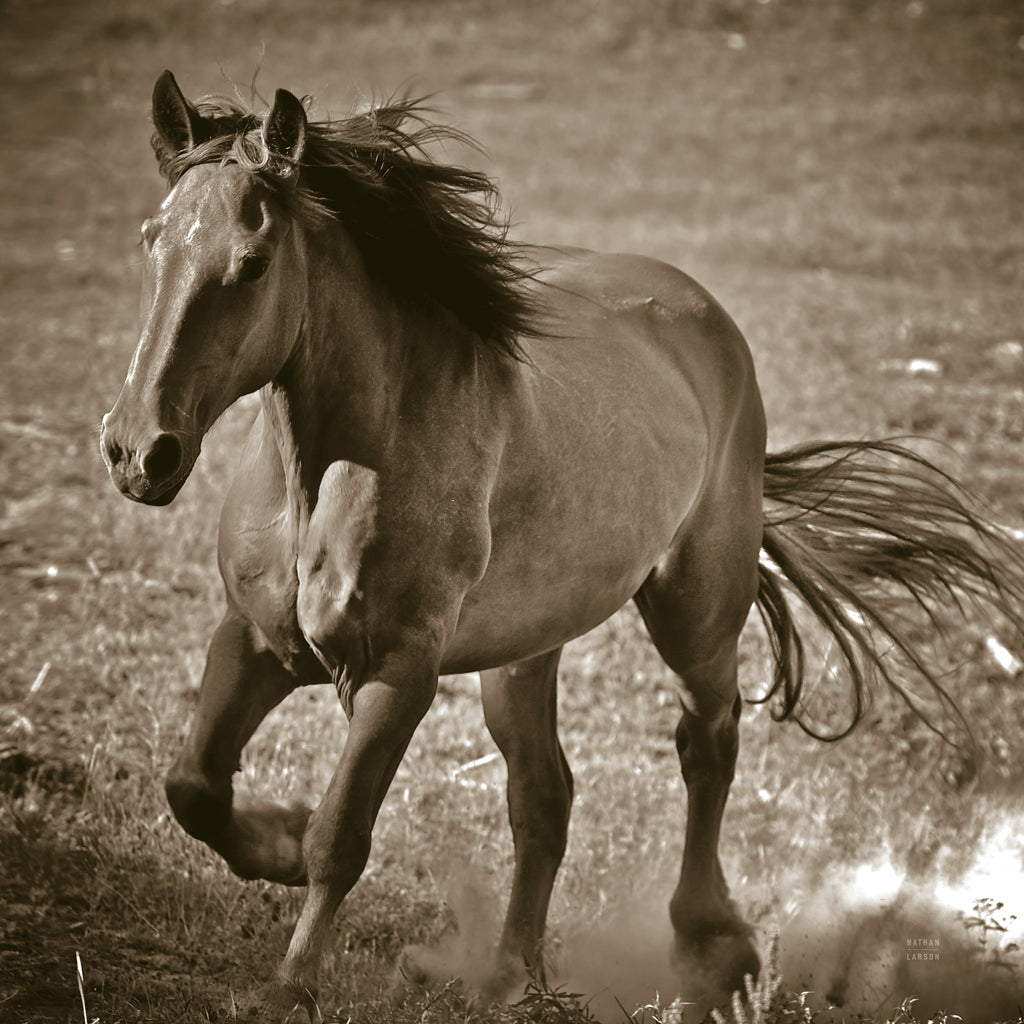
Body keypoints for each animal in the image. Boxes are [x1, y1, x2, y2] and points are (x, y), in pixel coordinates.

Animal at [97, 74, 1024, 1015]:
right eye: (150, 240)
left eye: (252, 264)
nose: (140, 452)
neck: (329, 472)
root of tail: (703, 316)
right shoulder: (255, 639)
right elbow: (194, 785)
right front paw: (276, 844)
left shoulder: (399, 673)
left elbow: (342, 835)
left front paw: (291, 985)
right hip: (523, 652)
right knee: (545, 795)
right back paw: (511, 977)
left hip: (694, 613)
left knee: (707, 744)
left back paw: (709, 949)